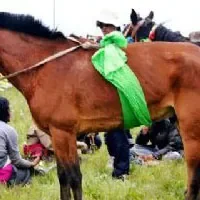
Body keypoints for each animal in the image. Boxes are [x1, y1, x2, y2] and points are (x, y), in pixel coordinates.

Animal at [0, 12, 200, 200]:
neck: (45, 67)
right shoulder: (59, 136)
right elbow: (65, 175)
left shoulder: (63, 132)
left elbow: (71, 177)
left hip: (191, 130)